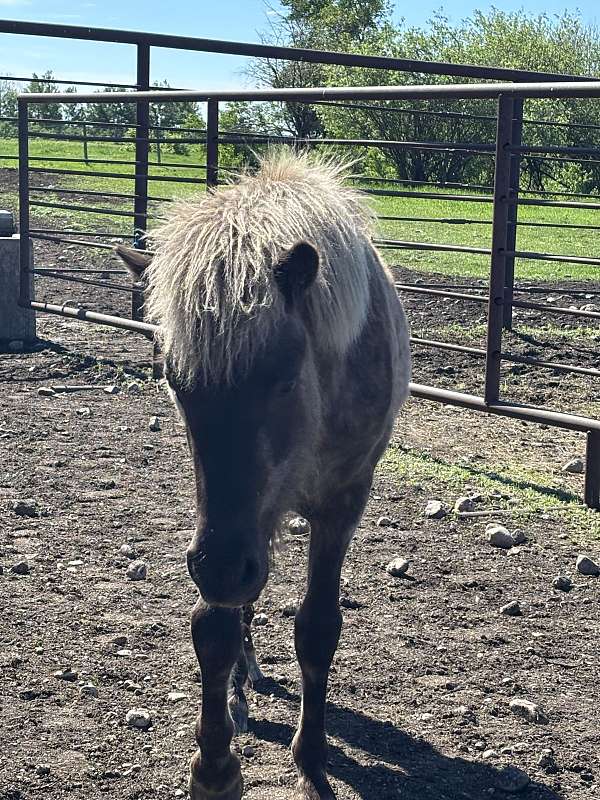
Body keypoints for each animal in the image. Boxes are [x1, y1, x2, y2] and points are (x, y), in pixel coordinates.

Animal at [117, 150, 411, 800]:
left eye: (284, 376)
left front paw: (312, 755)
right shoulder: (232, 525)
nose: (222, 568)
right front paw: (215, 767)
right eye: (176, 382)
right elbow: (214, 627)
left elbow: (318, 627)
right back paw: (241, 688)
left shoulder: (339, 503)